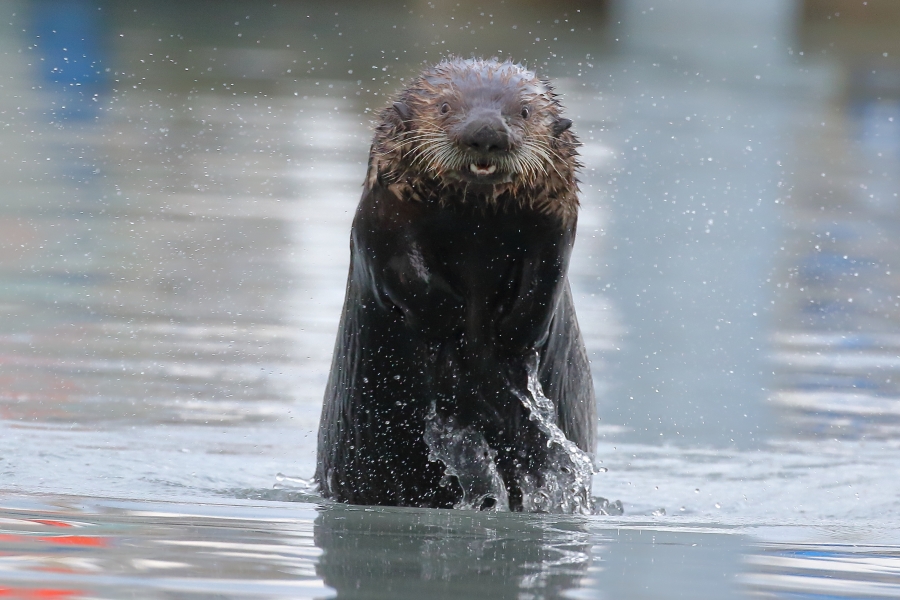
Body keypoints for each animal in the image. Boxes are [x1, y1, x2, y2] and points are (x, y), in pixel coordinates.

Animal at [315, 58, 596, 512]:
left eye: (523, 112)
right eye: (446, 106)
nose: (486, 131)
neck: (475, 230)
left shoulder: (556, 221)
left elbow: (546, 278)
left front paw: (507, 331)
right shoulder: (382, 214)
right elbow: (400, 267)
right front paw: (451, 321)